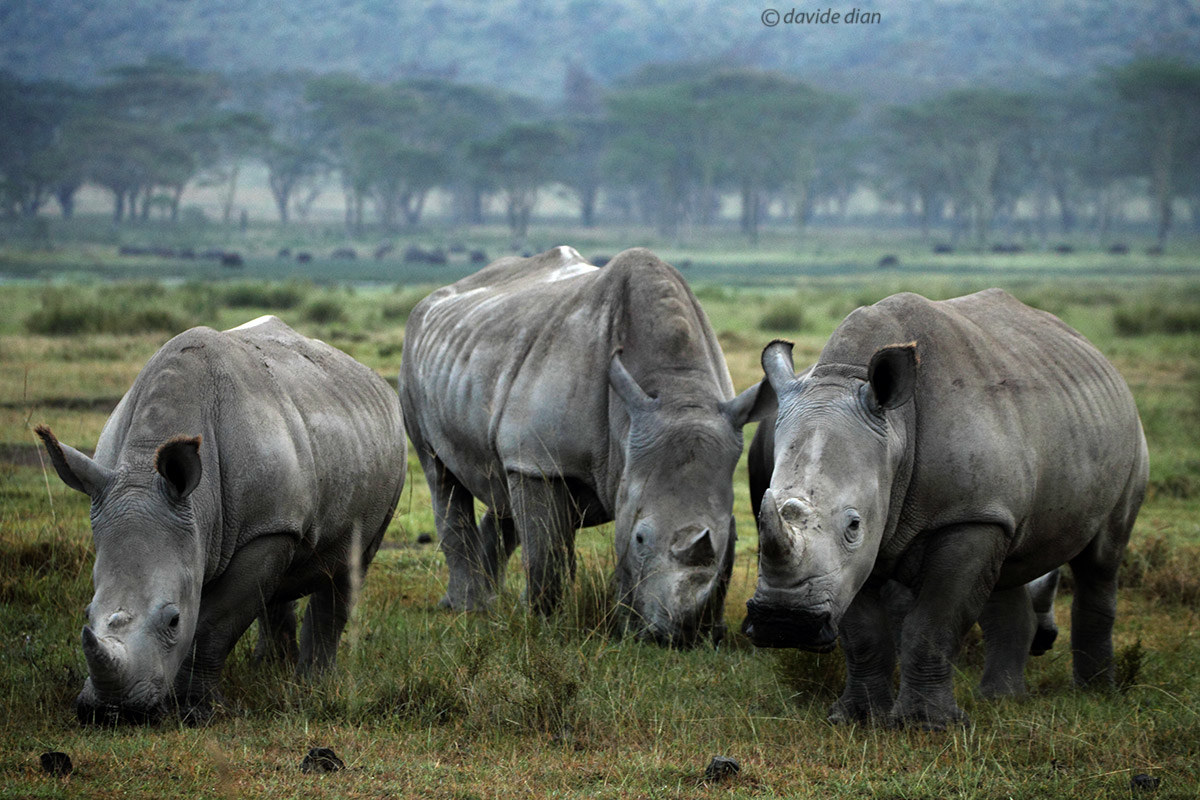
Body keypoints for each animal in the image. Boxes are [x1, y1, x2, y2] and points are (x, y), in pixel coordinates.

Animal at [37, 316, 406, 724]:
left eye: (173, 620)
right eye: (87, 613)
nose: (112, 712)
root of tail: (374, 380)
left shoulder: (264, 530)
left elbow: (213, 624)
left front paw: (194, 711)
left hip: (384, 460)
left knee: (351, 562)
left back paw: (312, 683)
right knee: (279, 576)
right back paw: (268, 668)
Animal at [399, 247, 767, 646]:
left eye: (731, 538)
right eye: (640, 538)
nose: (683, 638)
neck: (676, 390)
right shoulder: (540, 460)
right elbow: (548, 551)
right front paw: (540, 621)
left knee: (501, 486)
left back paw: (488, 603)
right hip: (414, 362)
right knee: (441, 476)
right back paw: (468, 608)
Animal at [744, 289, 1147, 728]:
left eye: (853, 525)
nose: (783, 623)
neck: (896, 428)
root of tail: (1102, 361)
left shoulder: (967, 516)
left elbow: (934, 623)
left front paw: (927, 725)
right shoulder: (858, 555)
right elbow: (863, 633)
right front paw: (858, 719)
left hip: (1127, 437)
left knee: (1101, 560)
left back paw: (1094, 694)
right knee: (1008, 566)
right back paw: (1002, 699)